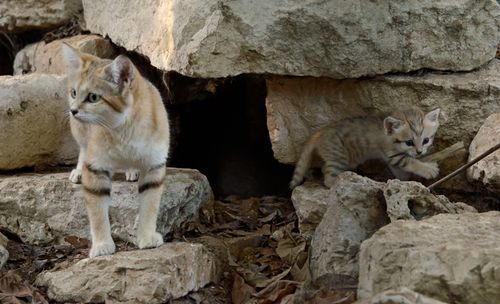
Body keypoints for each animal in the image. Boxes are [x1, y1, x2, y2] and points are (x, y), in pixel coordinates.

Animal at [61, 44, 168, 258]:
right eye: (74, 92)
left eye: (93, 97)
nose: (73, 110)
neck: (126, 129)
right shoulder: (96, 167)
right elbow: (98, 213)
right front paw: (102, 245)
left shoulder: (154, 166)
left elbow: (150, 206)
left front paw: (146, 237)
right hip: (79, 131)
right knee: (83, 148)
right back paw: (78, 171)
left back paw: (132, 170)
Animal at [290, 107, 442, 188]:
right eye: (409, 142)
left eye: (426, 140)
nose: (420, 152)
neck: (389, 137)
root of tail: (322, 130)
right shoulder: (393, 154)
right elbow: (411, 161)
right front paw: (428, 169)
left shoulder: (389, 158)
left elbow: (399, 170)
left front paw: (403, 179)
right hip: (339, 157)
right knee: (328, 177)